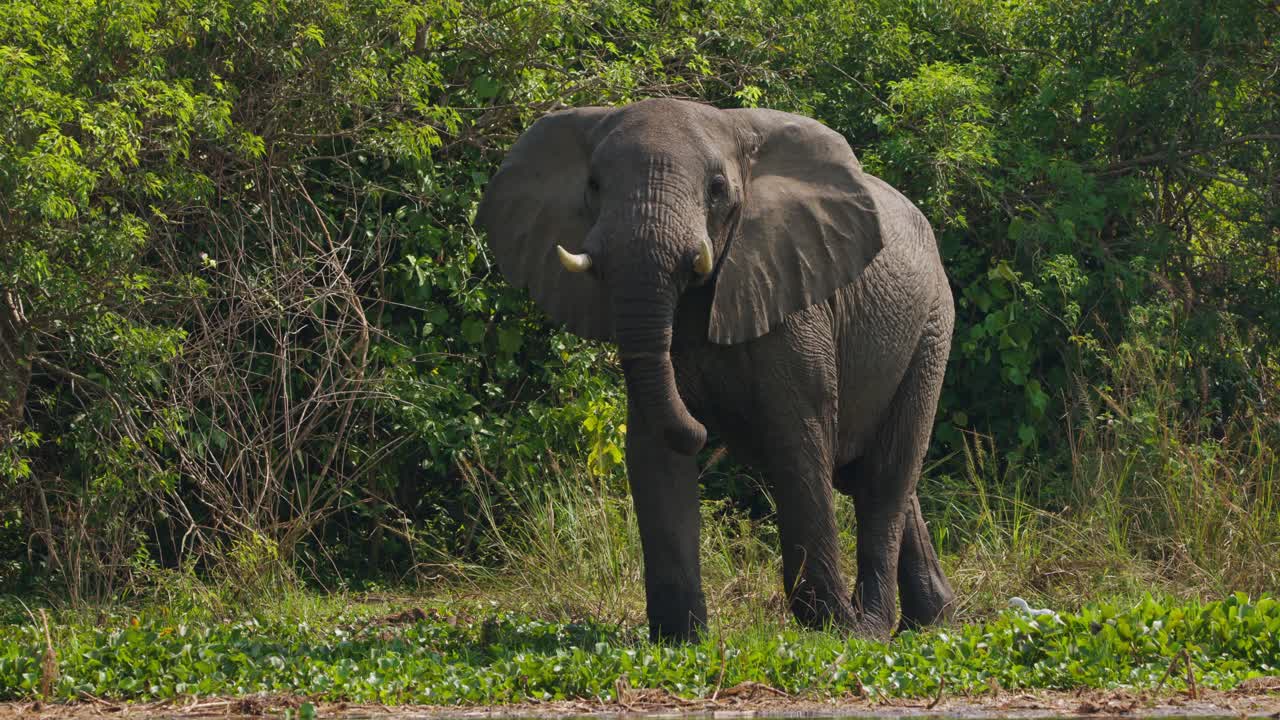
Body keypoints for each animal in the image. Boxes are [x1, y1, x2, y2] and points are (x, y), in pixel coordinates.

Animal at [476, 98, 955, 642]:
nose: (704, 432)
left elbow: (799, 438)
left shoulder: (793, 299)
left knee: (883, 478)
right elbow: (652, 450)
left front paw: (830, 628)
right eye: (594, 185)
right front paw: (679, 640)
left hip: (931, 327)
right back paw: (930, 621)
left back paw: (871, 628)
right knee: (870, 476)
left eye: (717, 188)